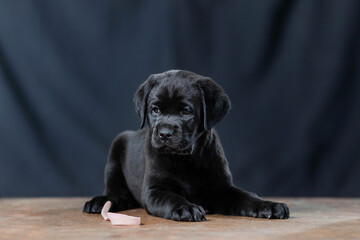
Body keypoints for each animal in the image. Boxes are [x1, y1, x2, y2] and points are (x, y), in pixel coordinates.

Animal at [84, 70, 290, 221]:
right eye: (155, 110)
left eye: (186, 111)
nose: (165, 133)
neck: (187, 159)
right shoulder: (154, 190)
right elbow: (171, 197)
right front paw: (185, 208)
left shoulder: (222, 188)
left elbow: (246, 196)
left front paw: (268, 205)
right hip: (116, 149)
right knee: (117, 193)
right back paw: (100, 202)